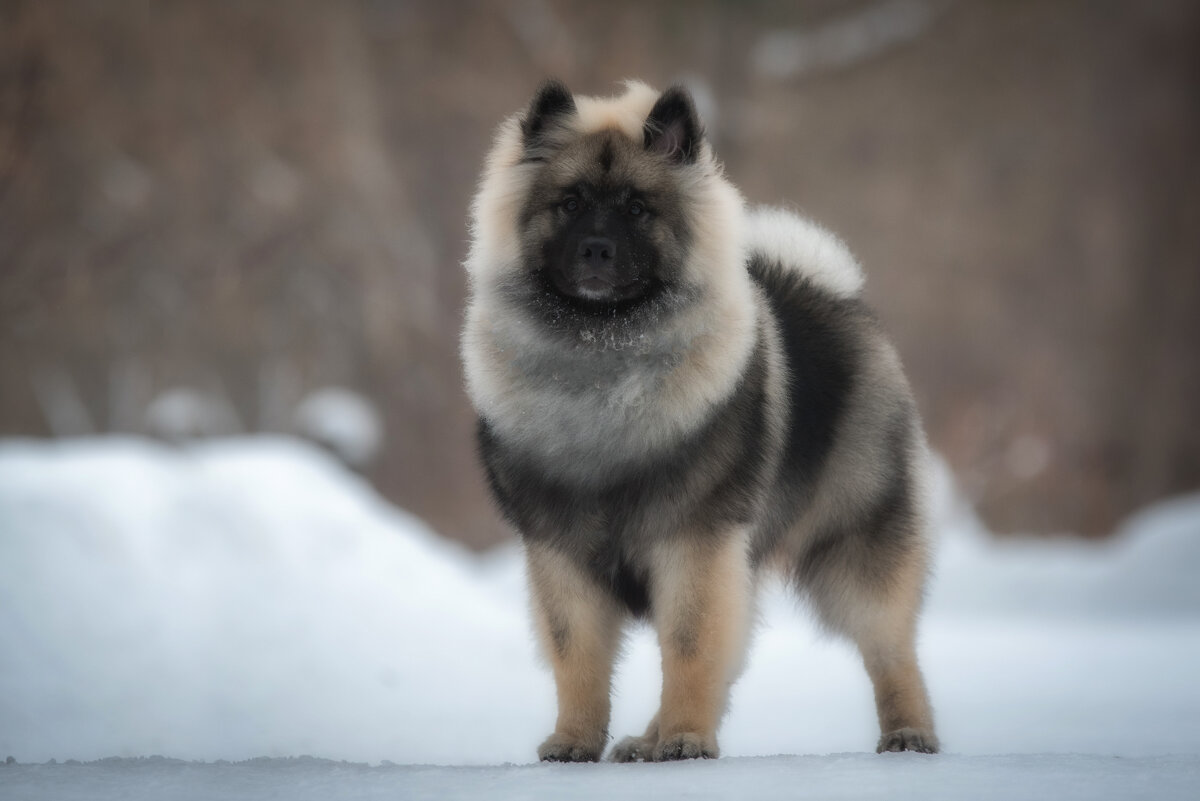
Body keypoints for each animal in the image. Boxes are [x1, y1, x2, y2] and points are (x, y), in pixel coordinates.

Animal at [458, 81, 936, 762]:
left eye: (637, 209)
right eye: (570, 203)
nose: (596, 248)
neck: (600, 357)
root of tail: (829, 293)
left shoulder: (694, 543)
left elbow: (688, 648)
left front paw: (686, 737)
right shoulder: (561, 553)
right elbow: (578, 659)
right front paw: (576, 740)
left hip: (857, 541)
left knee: (891, 649)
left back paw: (909, 732)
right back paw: (644, 741)